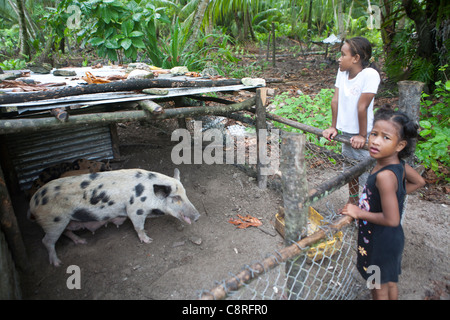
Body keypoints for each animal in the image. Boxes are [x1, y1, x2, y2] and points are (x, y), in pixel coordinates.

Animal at [26, 169, 199, 266]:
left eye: (185, 193)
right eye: (176, 197)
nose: (197, 215)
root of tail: (32, 202)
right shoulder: (135, 210)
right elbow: (139, 227)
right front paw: (148, 240)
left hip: (67, 221)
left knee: (66, 232)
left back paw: (82, 241)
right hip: (54, 221)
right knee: (46, 241)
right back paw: (57, 264)